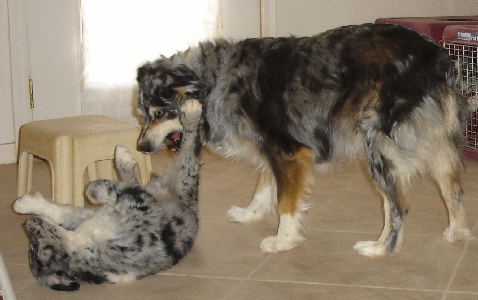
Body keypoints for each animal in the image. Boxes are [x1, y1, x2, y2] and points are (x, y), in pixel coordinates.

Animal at [13, 100, 204, 290]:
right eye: (33, 249)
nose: (27, 223)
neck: (83, 244)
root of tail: (190, 206)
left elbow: (88, 192)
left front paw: (22, 203)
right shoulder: (140, 205)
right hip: (184, 177)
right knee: (188, 149)